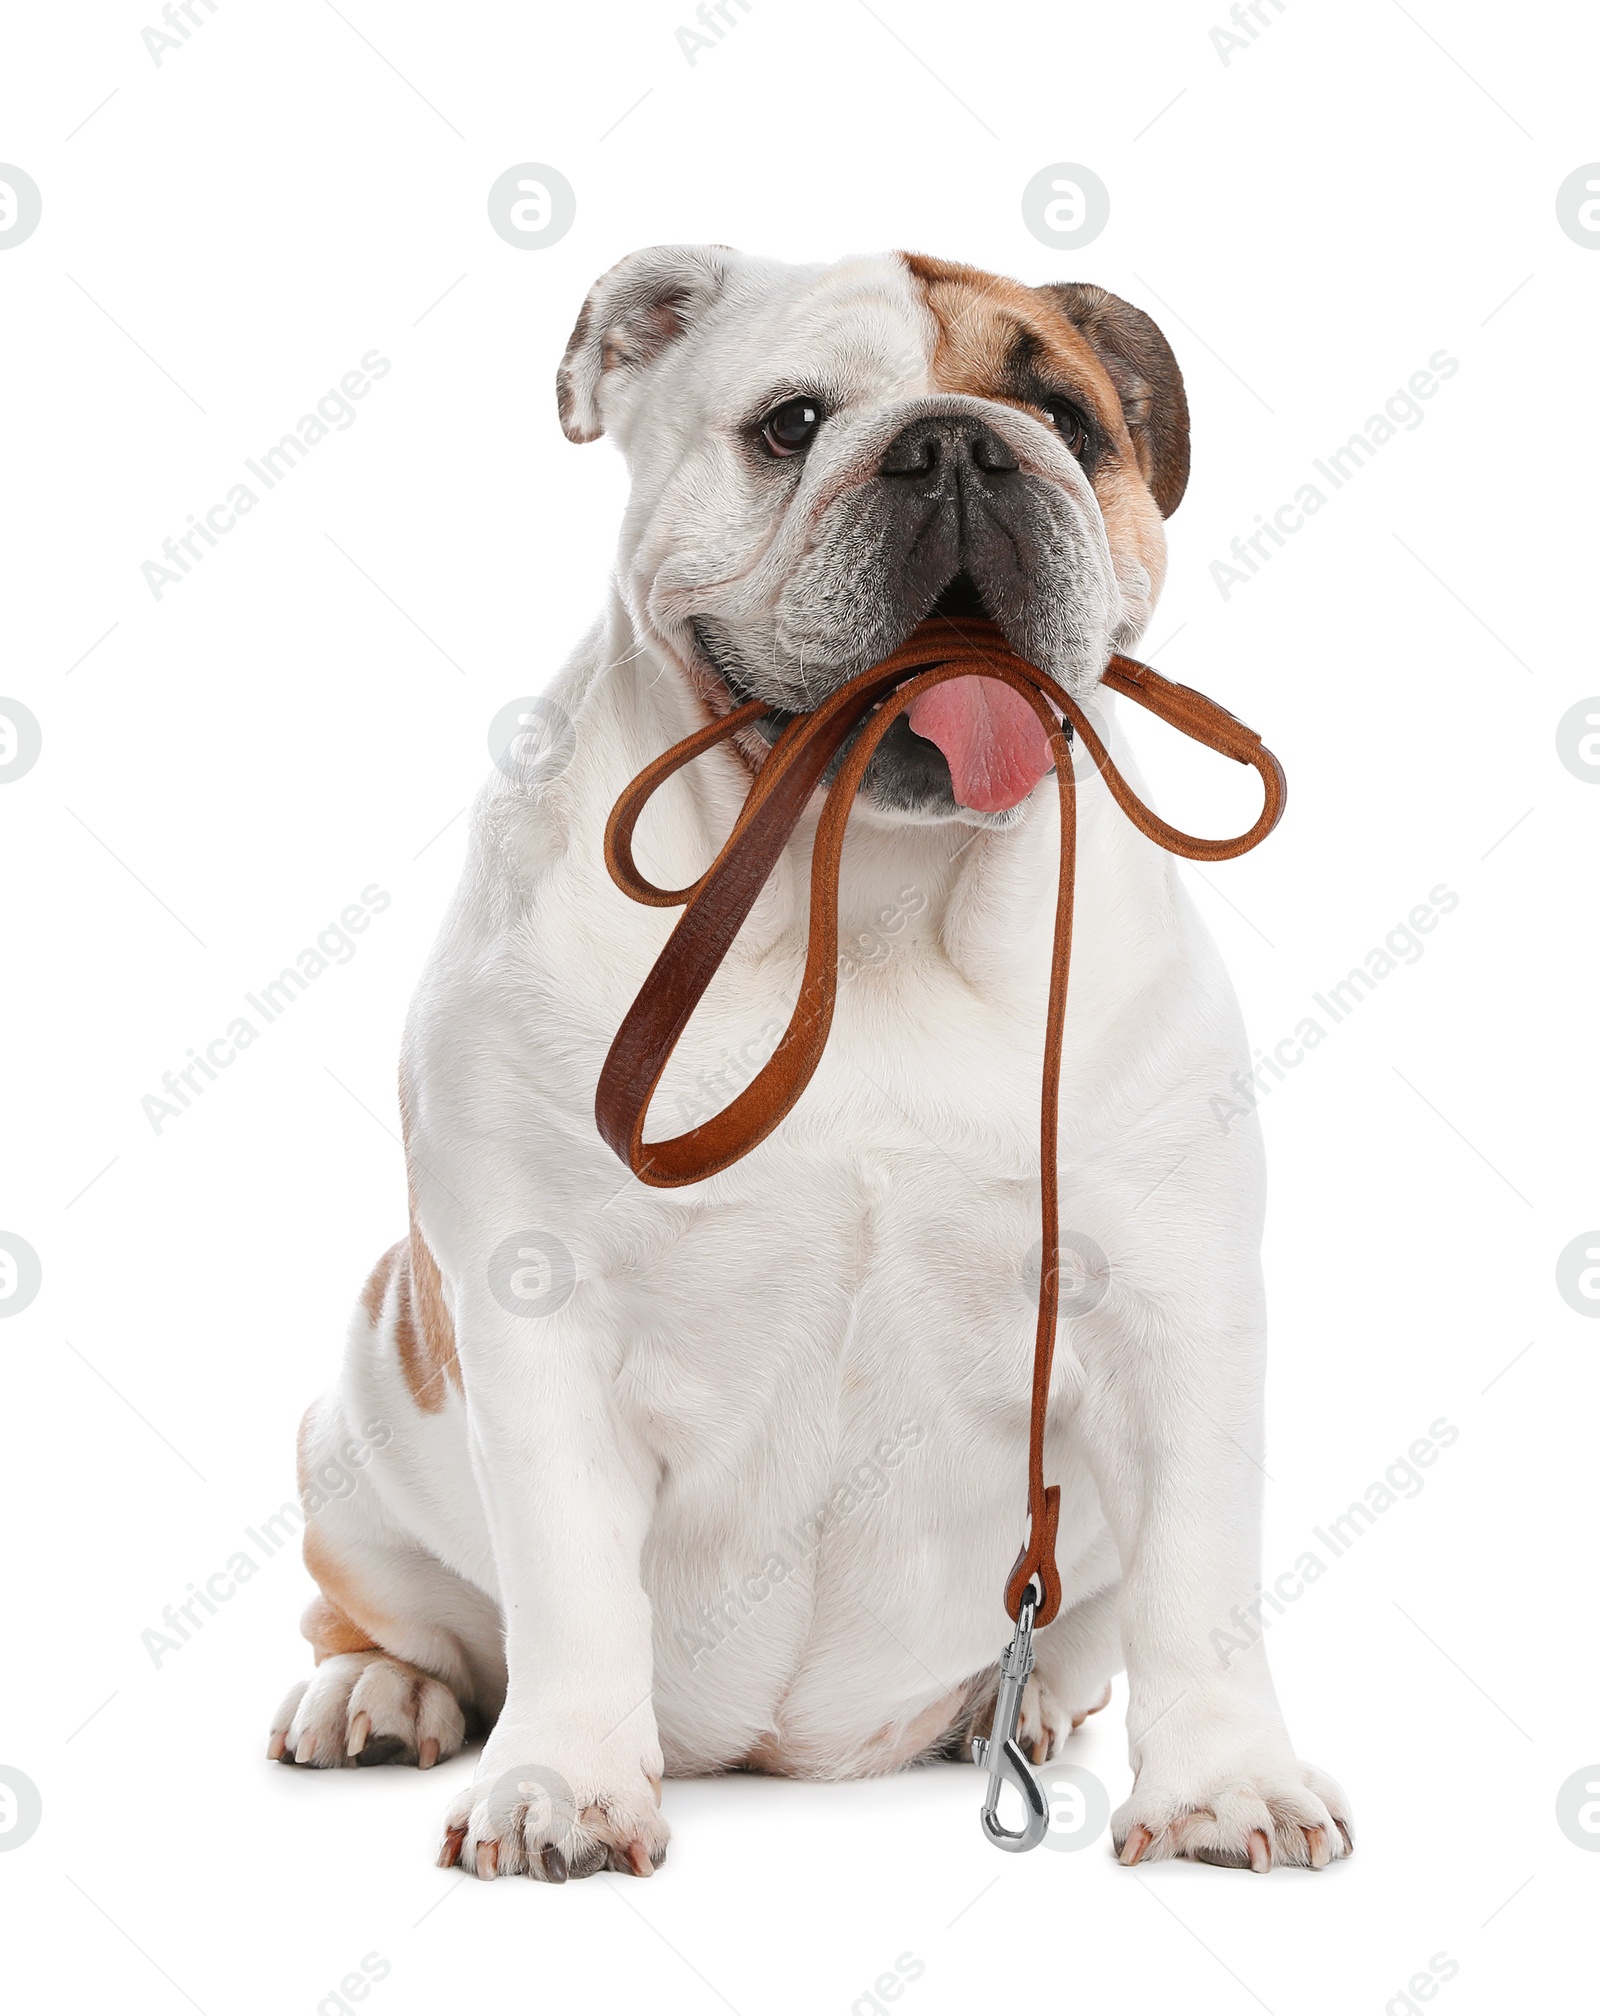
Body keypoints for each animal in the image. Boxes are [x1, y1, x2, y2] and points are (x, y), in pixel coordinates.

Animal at [272, 243, 1346, 1878]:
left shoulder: (1175, 1309)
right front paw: (563, 1785)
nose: (959, 446)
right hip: (357, 1425)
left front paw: (1227, 1783)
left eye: (1066, 421)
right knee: (403, 1614)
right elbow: (571, 1587)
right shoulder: (537, 1320)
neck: (870, 894)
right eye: (791, 425)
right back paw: (378, 1696)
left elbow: (1199, 1582)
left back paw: (1022, 1709)